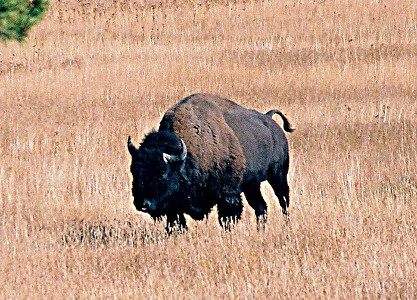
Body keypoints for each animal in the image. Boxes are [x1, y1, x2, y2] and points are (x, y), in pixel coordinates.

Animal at [127, 93, 292, 232]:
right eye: (134, 172)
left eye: (163, 174)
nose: (143, 204)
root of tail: (270, 121)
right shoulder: (174, 206)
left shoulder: (228, 195)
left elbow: (227, 219)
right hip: (251, 185)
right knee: (261, 207)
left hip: (278, 176)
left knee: (283, 200)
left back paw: (286, 224)